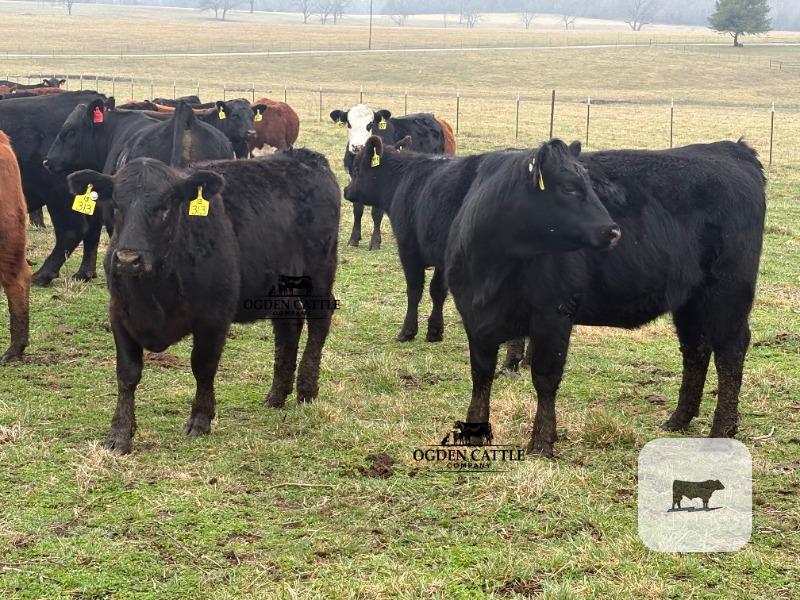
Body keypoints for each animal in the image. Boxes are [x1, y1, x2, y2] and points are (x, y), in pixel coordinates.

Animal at [66, 150, 339, 454]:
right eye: (116, 204)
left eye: (164, 207)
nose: (127, 259)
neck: (154, 292)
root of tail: (307, 157)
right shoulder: (119, 314)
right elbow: (127, 374)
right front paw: (119, 433)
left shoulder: (214, 317)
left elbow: (203, 366)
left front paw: (200, 419)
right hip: (280, 288)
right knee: (289, 325)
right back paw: (277, 394)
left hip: (319, 273)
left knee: (319, 321)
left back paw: (306, 390)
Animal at [330, 104, 456, 251]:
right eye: (349, 123)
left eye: (370, 124)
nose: (357, 146)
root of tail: (436, 118)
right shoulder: (352, 178)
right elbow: (357, 209)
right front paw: (354, 239)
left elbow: (376, 213)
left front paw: (375, 242)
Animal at [344, 135, 484, 343]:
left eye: (357, 169)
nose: (346, 190)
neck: (402, 180)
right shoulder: (441, 260)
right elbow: (437, 291)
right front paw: (435, 330)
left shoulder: (408, 250)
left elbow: (414, 289)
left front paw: (408, 331)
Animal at [446, 139, 765, 457]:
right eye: (569, 188)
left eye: (591, 185)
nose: (613, 231)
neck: (491, 270)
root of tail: (729, 148)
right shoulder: (474, 319)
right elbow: (481, 375)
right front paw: (474, 433)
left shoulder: (554, 314)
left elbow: (545, 378)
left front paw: (542, 442)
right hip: (689, 300)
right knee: (695, 350)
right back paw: (678, 420)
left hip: (728, 294)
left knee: (730, 353)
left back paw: (721, 432)